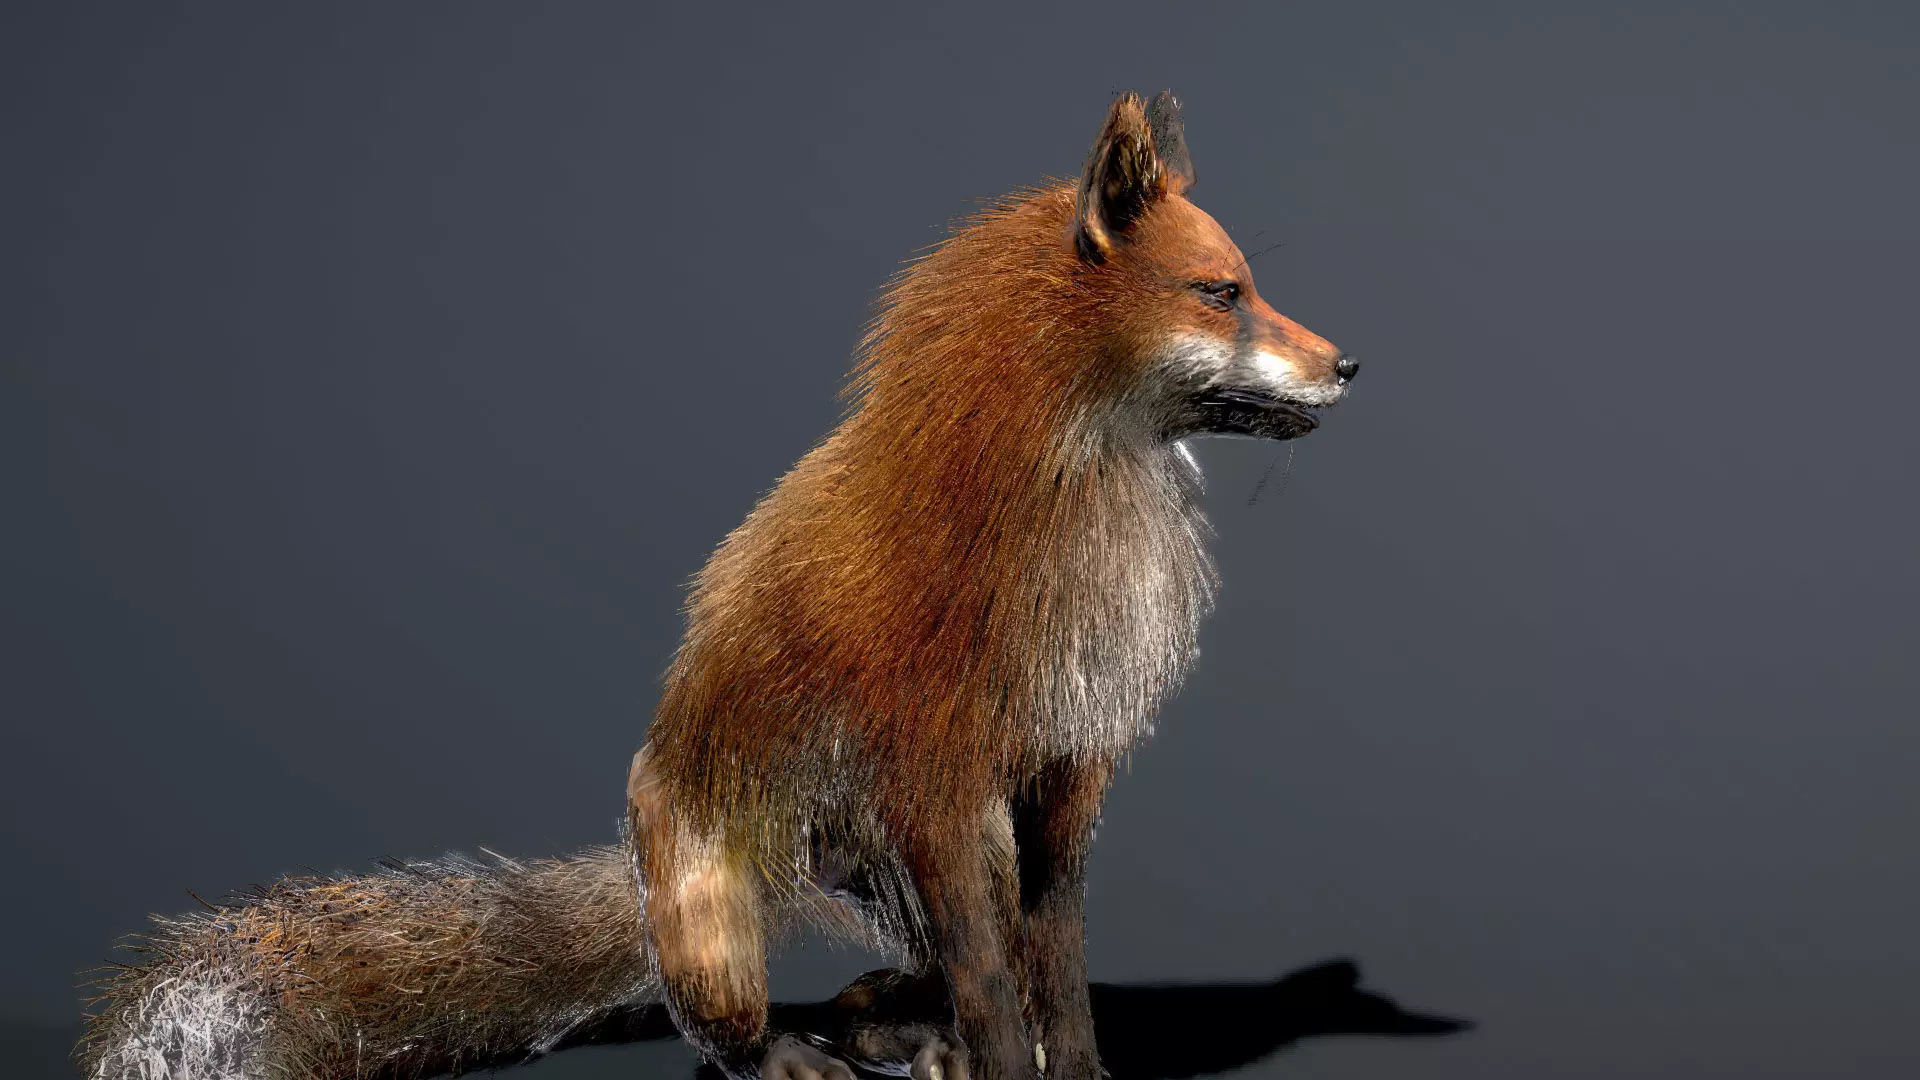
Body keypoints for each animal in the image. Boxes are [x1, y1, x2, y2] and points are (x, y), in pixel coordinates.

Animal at [80, 90, 1359, 1080]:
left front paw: (1076, 1067)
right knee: (742, 1028)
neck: (1076, 526)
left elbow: (1058, 975)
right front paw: (1001, 1062)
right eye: (1222, 294)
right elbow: (1000, 986)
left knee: (876, 996)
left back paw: (908, 1041)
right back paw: (803, 1056)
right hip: (719, 914)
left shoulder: (1061, 782)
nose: (1350, 363)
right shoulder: (944, 793)